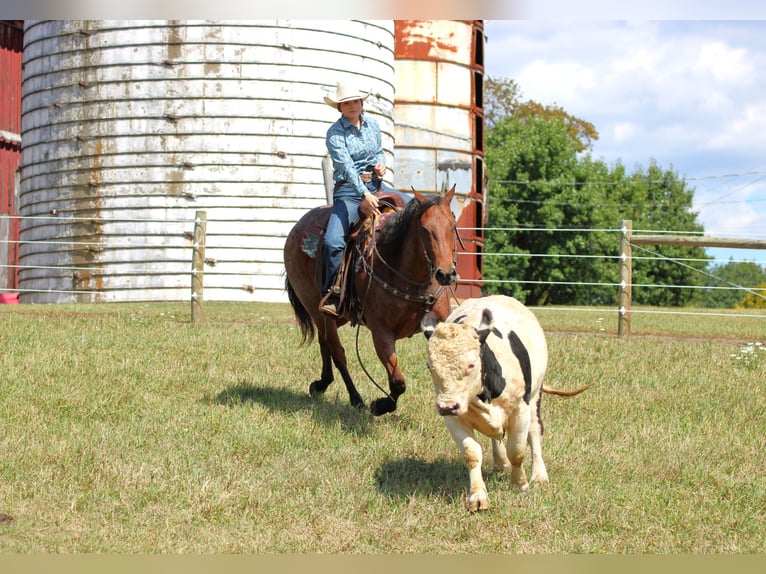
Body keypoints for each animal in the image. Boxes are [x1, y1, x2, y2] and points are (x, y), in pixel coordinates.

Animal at [283, 185, 459, 416]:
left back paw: (322, 383)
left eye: (453, 225)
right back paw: (355, 398)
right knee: (337, 352)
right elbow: (398, 382)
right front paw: (380, 405)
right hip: (316, 308)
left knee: (324, 342)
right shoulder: (381, 333)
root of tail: (297, 228)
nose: (446, 274)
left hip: (333, 317)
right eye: (424, 228)